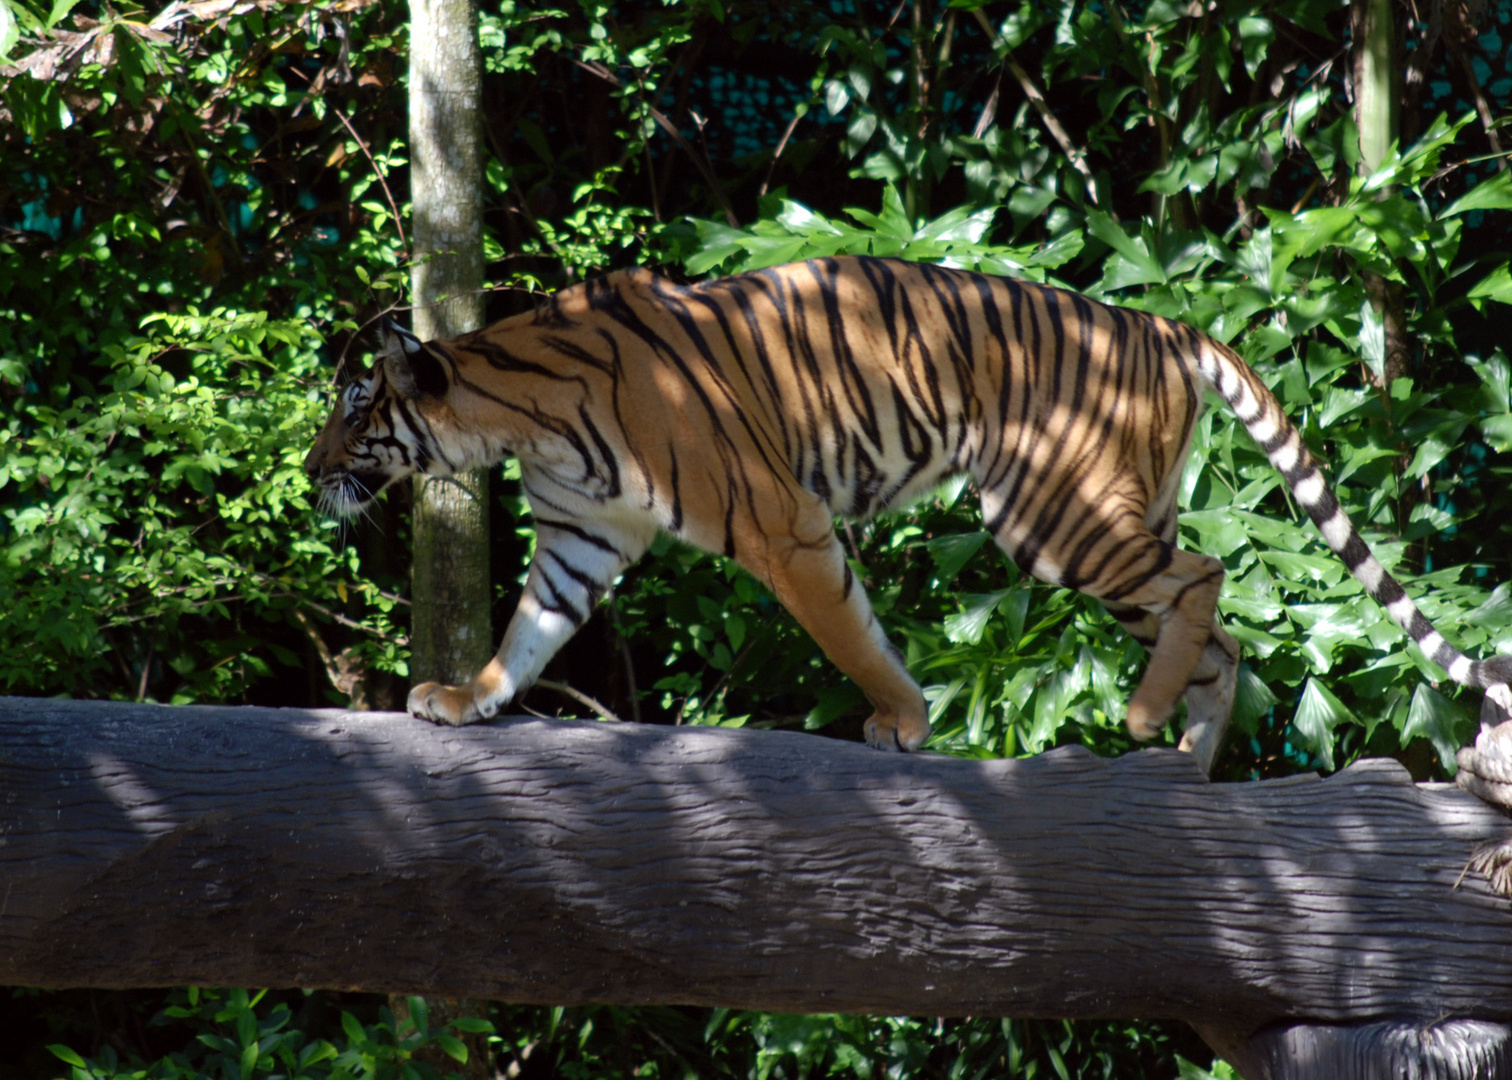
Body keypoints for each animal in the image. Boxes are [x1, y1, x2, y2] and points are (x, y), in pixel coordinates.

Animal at [306, 257, 1512, 768]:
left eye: (356, 410)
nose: (310, 472)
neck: (516, 418)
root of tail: (1158, 321)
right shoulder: (579, 537)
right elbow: (529, 631)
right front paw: (467, 698)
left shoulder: (781, 522)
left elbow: (851, 633)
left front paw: (901, 720)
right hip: (1123, 515)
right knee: (1222, 640)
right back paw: (1181, 762)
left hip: (1053, 512)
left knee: (1208, 583)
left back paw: (1138, 721)